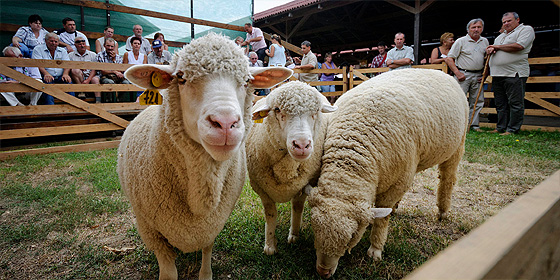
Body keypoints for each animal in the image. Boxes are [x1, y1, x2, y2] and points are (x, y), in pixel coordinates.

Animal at [118, 33, 294, 280]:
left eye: (247, 81)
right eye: (180, 77)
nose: (226, 123)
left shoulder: (213, 224)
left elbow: (207, 252)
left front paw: (205, 273)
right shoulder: (151, 231)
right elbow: (168, 272)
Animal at [249, 80, 336, 254]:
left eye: (316, 111)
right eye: (277, 109)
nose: (301, 145)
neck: (286, 170)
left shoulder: (304, 184)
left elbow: (297, 207)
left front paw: (294, 235)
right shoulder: (261, 189)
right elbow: (270, 214)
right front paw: (270, 245)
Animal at [306, 68, 468, 278]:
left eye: (352, 237)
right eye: (314, 228)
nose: (323, 272)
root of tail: (438, 71)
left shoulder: (396, 182)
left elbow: (383, 218)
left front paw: (375, 249)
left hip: (457, 145)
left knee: (447, 178)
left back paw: (442, 211)